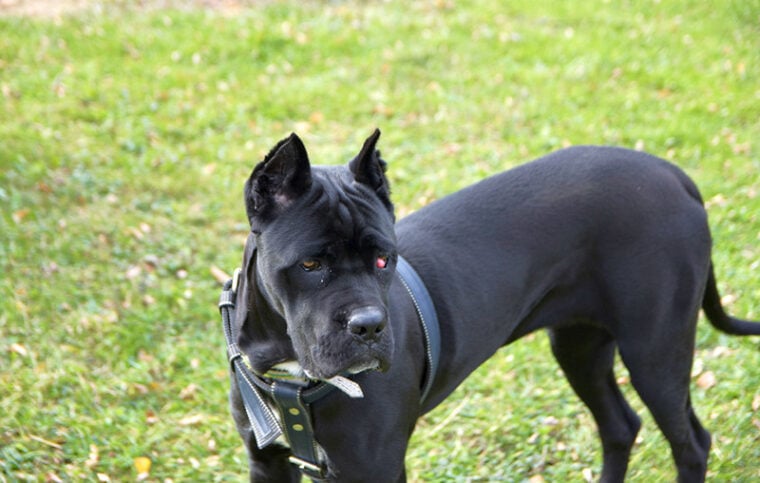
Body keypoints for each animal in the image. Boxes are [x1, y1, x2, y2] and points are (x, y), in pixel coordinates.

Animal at [227, 130, 760, 482]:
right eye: (311, 263)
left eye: (383, 258)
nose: (369, 326)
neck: (291, 373)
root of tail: (673, 174)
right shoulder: (266, 462)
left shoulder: (374, 468)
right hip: (581, 346)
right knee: (620, 426)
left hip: (655, 350)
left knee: (690, 443)